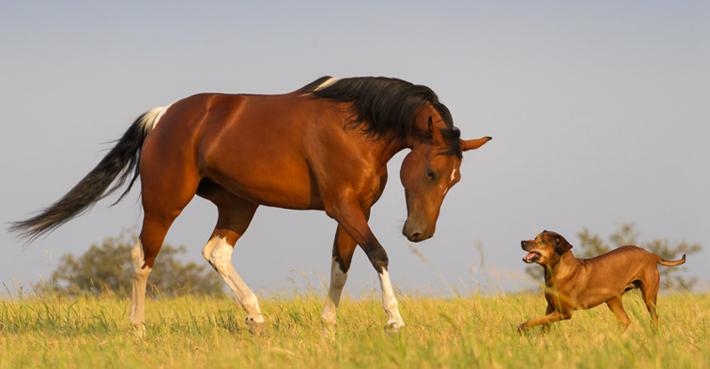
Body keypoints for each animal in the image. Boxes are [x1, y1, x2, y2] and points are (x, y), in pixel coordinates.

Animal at [11, 75, 492, 330]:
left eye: (455, 180)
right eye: (431, 173)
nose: (419, 232)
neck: (356, 127)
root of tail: (164, 116)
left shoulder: (356, 211)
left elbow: (341, 264)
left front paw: (328, 327)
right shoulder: (343, 207)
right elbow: (378, 254)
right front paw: (393, 320)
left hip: (239, 205)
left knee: (216, 252)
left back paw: (256, 316)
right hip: (164, 204)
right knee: (142, 258)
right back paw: (138, 329)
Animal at [520, 229, 688, 330]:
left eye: (542, 242)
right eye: (535, 238)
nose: (522, 242)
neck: (556, 271)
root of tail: (651, 255)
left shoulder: (565, 313)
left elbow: (534, 321)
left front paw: (522, 328)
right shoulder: (551, 307)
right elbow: (543, 323)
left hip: (649, 296)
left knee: (654, 316)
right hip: (613, 300)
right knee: (626, 321)